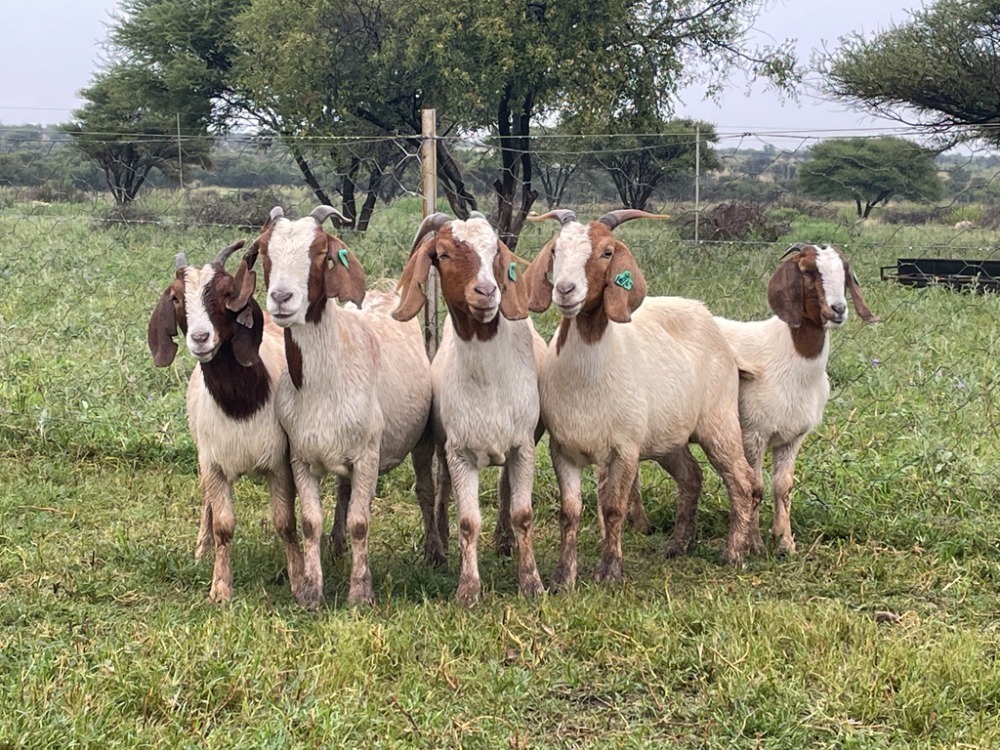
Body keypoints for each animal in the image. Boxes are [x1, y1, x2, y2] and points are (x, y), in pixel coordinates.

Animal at [145, 241, 300, 604]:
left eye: (227, 292)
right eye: (176, 297)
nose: (201, 338)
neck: (241, 405)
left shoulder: (280, 462)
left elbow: (285, 523)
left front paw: (299, 580)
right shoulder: (213, 463)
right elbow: (223, 524)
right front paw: (220, 586)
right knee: (206, 503)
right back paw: (201, 550)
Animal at [243, 206, 438, 612]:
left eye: (320, 252)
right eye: (265, 251)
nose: (281, 298)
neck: (324, 381)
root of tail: (389, 292)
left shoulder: (367, 455)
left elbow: (361, 522)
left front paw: (360, 593)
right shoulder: (301, 456)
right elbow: (310, 523)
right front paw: (312, 591)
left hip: (424, 433)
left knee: (425, 490)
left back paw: (434, 552)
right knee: (343, 491)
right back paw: (336, 546)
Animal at [392, 212, 548, 612]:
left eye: (495, 251)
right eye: (443, 254)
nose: (487, 293)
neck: (490, 383)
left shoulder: (523, 446)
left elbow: (523, 513)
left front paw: (532, 582)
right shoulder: (459, 450)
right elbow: (468, 520)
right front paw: (467, 589)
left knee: (504, 488)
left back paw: (505, 542)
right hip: (436, 440)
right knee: (438, 486)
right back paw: (439, 545)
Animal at [524, 210, 756, 588]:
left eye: (606, 252)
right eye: (556, 250)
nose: (565, 290)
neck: (587, 379)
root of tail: (708, 318)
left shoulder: (626, 448)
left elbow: (613, 508)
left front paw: (610, 570)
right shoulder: (564, 448)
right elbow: (570, 512)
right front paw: (563, 577)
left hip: (719, 421)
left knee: (742, 480)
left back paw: (735, 553)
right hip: (668, 436)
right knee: (691, 476)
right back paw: (678, 545)